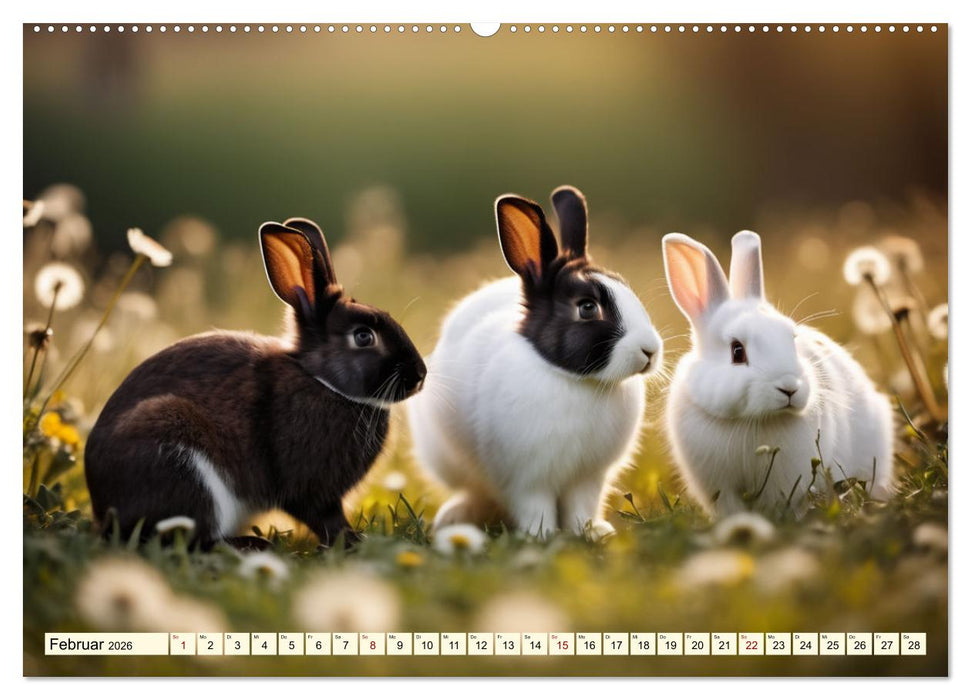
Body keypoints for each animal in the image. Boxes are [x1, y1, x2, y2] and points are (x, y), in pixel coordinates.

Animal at [84, 217, 426, 547]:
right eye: (363, 336)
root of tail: (104, 509)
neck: (320, 380)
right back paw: (250, 544)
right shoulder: (310, 488)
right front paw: (352, 541)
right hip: (178, 457)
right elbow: (323, 517)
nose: (420, 376)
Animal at [407, 186, 663, 538]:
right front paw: (541, 535)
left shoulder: (589, 476)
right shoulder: (527, 478)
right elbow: (534, 506)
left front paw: (591, 532)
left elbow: (582, 505)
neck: (575, 381)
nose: (650, 350)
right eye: (587, 307)